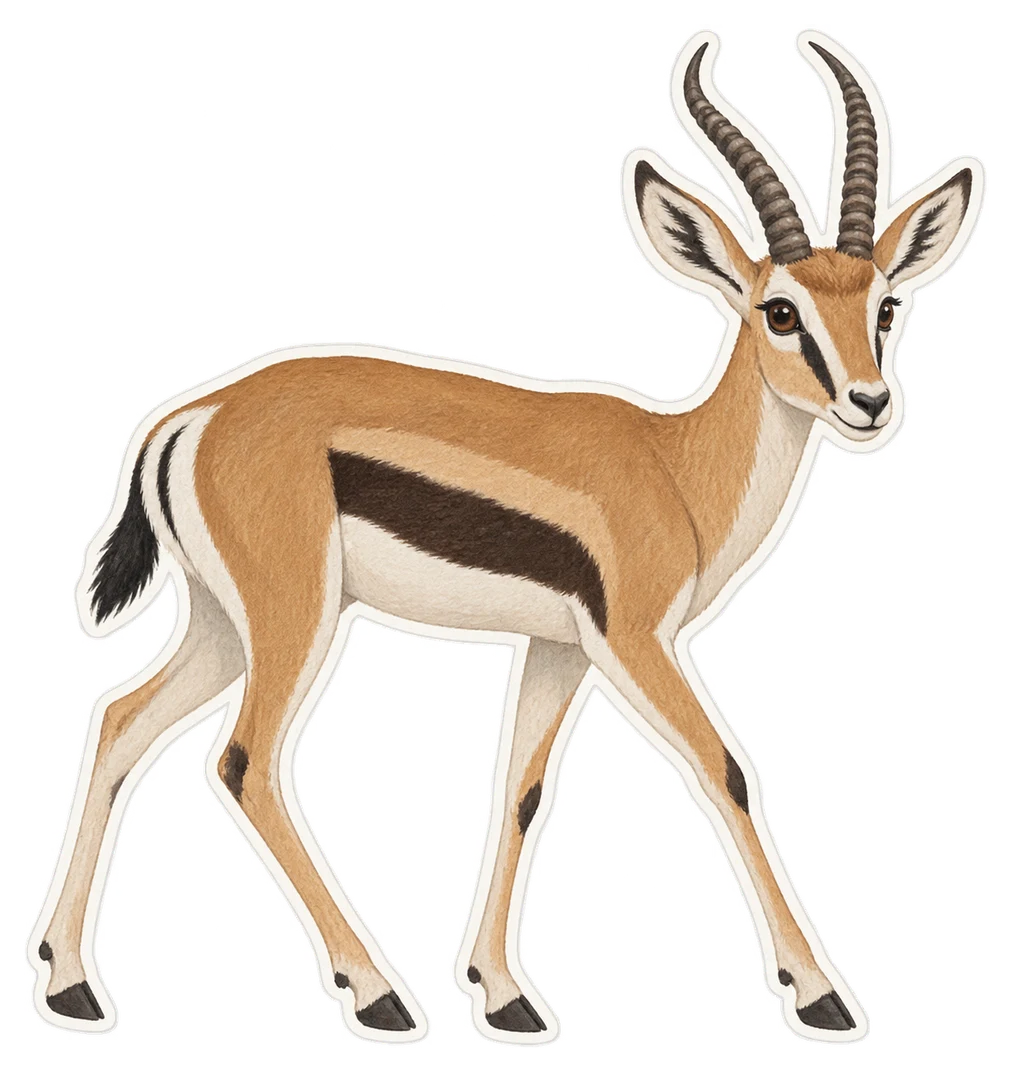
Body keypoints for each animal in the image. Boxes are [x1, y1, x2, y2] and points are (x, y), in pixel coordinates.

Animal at [30, 30, 981, 1045]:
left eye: (882, 305)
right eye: (781, 310)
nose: (870, 404)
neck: (675, 468)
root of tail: (192, 417)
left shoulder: (558, 647)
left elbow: (520, 793)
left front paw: (506, 995)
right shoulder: (635, 640)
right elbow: (725, 770)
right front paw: (821, 996)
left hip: (221, 623)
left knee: (120, 720)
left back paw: (70, 984)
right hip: (294, 618)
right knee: (243, 761)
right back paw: (378, 995)